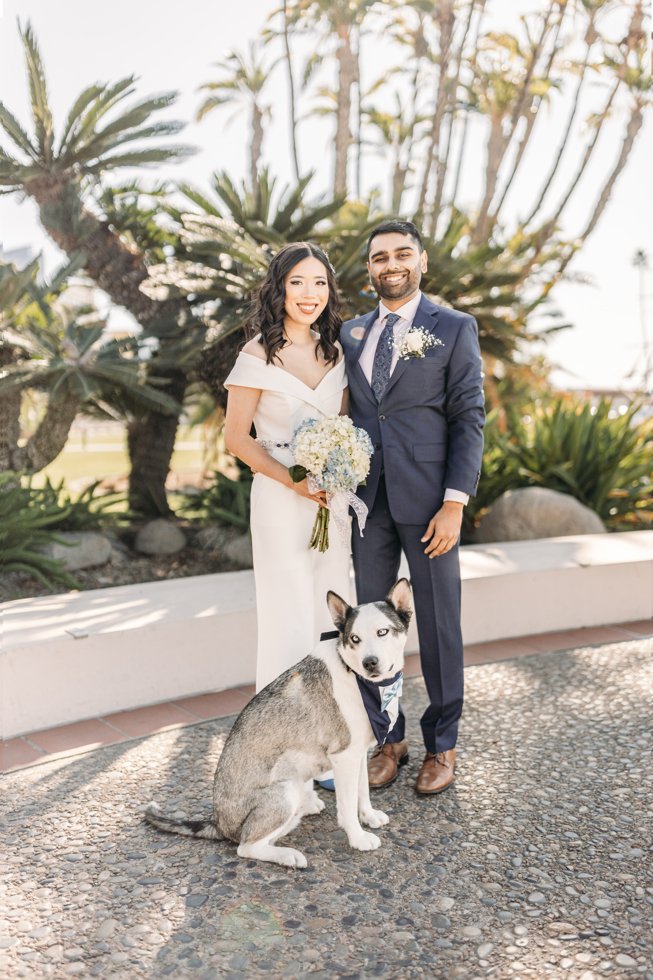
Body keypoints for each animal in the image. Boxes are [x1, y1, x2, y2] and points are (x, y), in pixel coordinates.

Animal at [146, 580, 412, 868]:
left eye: (382, 632)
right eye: (355, 639)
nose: (369, 662)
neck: (356, 676)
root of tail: (218, 822)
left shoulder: (358, 754)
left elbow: (362, 791)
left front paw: (369, 816)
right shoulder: (344, 756)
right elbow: (348, 805)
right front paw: (358, 838)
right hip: (285, 791)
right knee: (246, 847)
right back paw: (288, 855)